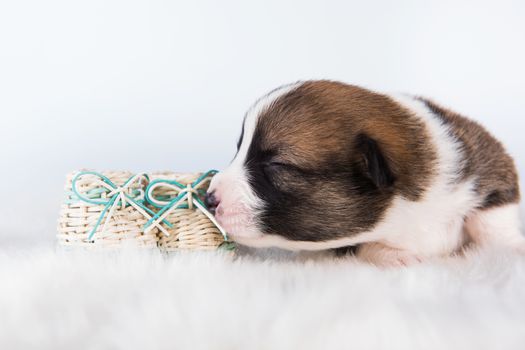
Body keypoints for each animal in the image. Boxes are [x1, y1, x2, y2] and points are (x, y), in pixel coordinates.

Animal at [207, 80, 520, 266]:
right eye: (239, 150)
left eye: (275, 165)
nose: (209, 198)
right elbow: (363, 246)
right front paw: (399, 257)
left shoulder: (490, 162)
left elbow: (490, 220)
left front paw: (512, 246)